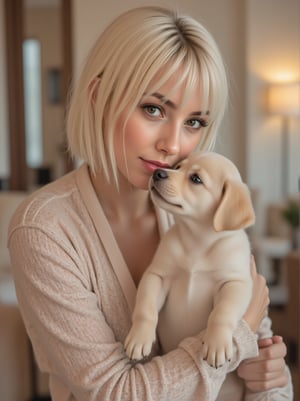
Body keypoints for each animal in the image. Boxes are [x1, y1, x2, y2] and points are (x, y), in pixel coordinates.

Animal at [125, 152, 255, 368]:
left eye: (196, 179)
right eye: (178, 167)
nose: (158, 172)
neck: (198, 240)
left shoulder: (235, 283)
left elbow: (221, 313)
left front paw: (217, 343)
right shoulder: (157, 275)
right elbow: (146, 308)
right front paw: (139, 337)